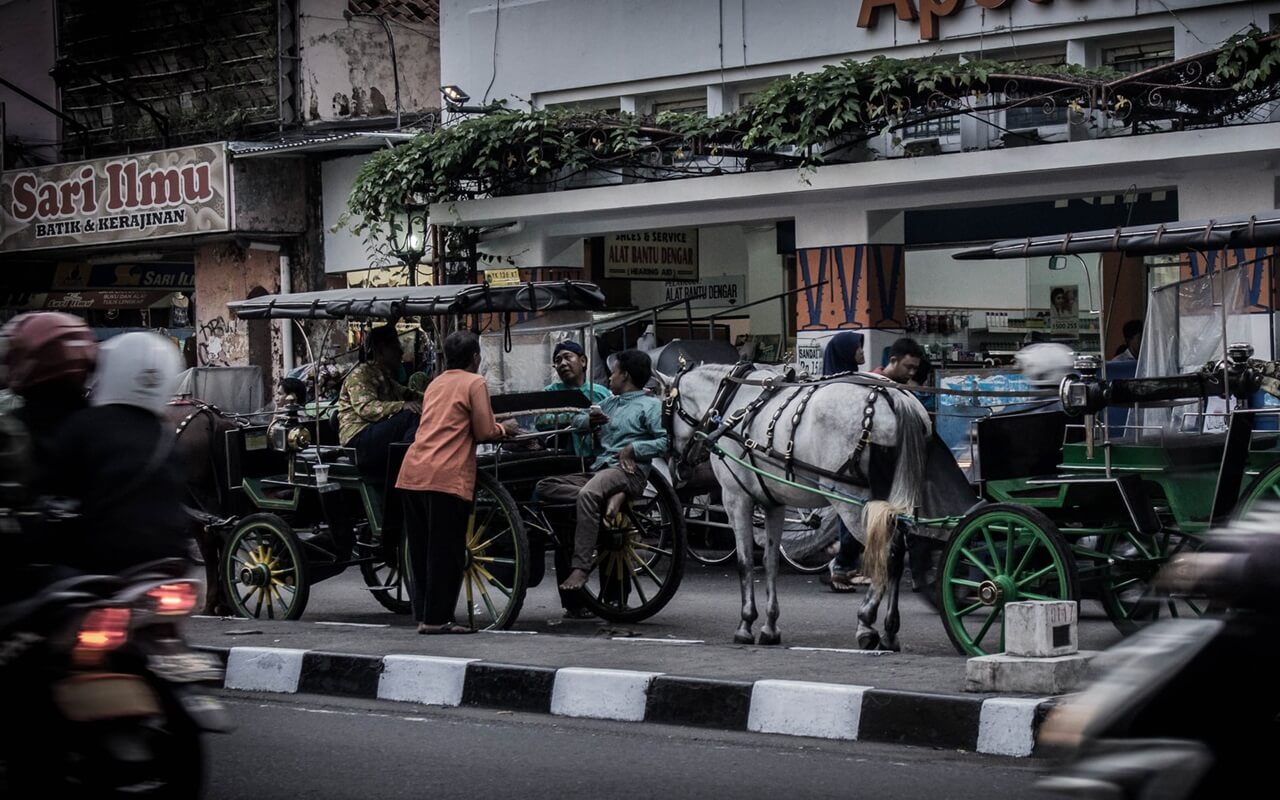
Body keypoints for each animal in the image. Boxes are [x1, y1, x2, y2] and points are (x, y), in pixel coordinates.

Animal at [660, 360, 931, 650]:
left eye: (664, 411)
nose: (676, 470)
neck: (733, 403)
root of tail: (897, 398)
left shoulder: (736, 499)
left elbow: (745, 563)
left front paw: (746, 623)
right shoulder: (774, 505)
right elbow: (770, 561)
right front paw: (769, 625)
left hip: (853, 502)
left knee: (886, 554)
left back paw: (866, 621)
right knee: (897, 554)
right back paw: (890, 630)